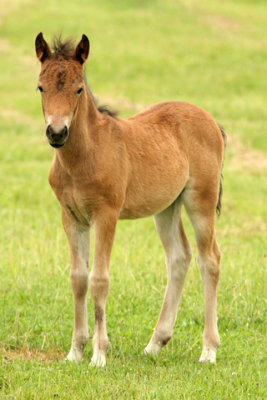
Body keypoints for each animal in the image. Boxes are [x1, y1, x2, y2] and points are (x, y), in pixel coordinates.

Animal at [34, 33, 227, 366]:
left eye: (79, 88)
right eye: (41, 87)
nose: (57, 132)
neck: (84, 156)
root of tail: (211, 121)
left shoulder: (106, 215)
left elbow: (99, 279)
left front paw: (99, 355)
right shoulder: (71, 217)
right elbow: (78, 278)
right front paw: (75, 351)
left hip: (200, 199)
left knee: (209, 259)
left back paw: (208, 350)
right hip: (167, 207)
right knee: (179, 257)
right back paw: (155, 343)